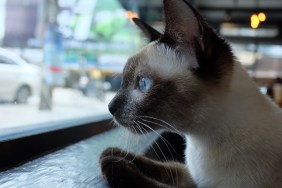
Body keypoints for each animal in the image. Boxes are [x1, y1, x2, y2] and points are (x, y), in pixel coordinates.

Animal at [98, 0, 282, 187]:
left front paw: (114, 164)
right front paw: (114, 154)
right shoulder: (190, 175)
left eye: (143, 84)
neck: (198, 142)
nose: (110, 107)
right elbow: (164, 166)